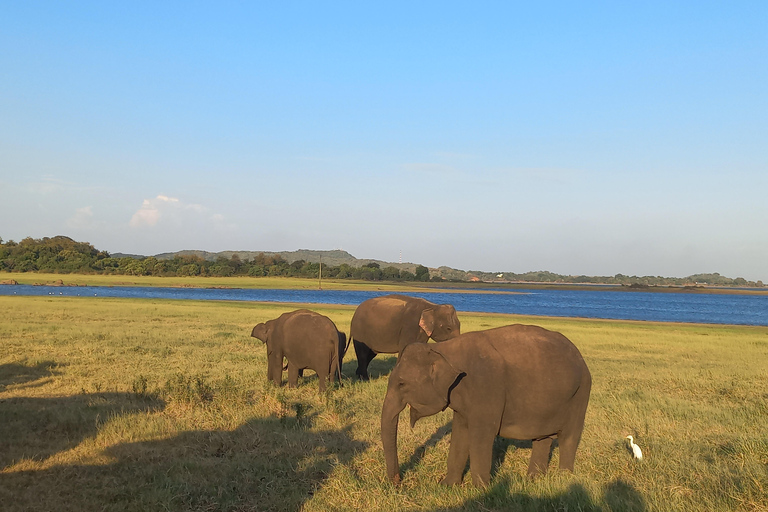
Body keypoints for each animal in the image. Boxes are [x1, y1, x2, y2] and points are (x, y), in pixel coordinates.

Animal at [380, 324, 592, 488]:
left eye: (401, 384)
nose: (398, 483)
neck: (443, 349)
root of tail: (580, 357)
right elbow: (460, 432)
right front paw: (446, 486)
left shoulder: (486, 387)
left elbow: (482, 435)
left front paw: (481, 490)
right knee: (543, 438)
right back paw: (533, 480)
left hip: (581, 392)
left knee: (569, 438)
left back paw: (564, 479)